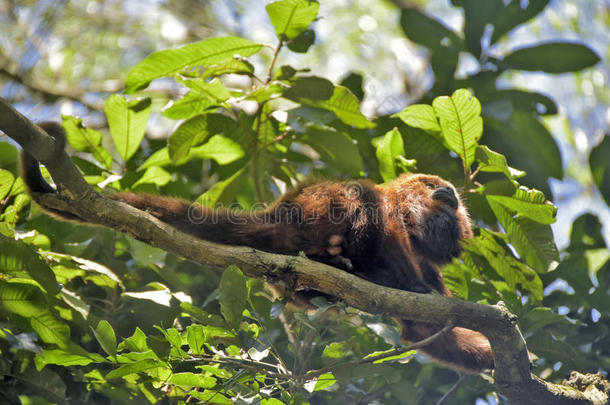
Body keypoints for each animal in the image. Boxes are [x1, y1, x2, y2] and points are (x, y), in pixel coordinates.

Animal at [21, 120, 492, 372]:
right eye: (432, 184)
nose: (451, 190)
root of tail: (276, 213)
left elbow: (422, 329)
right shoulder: (397, 214)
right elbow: (385, 223)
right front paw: (406, 283)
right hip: (315, 212)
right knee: (359, 195)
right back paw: (342, 260)